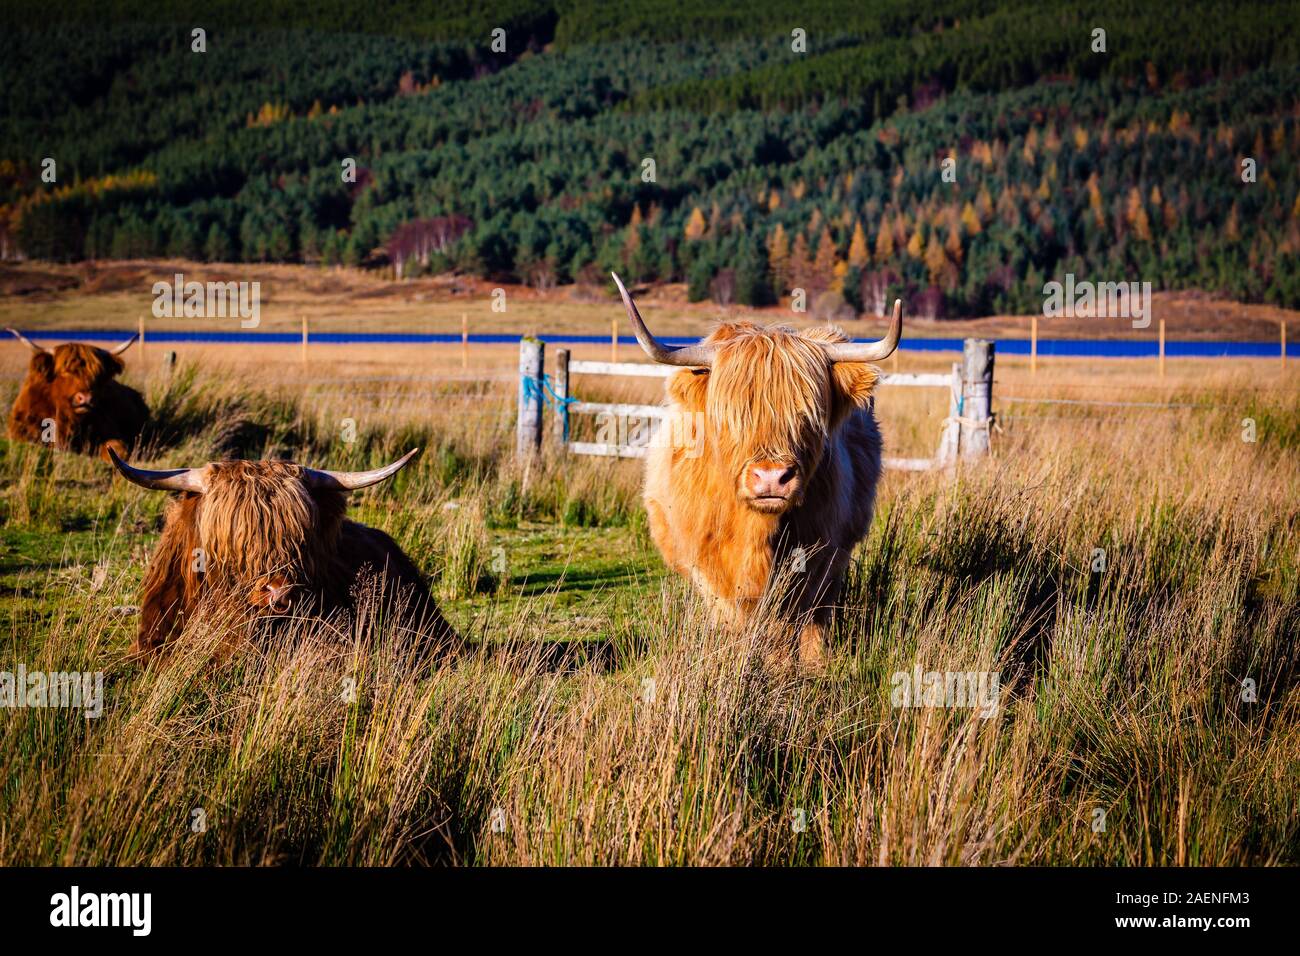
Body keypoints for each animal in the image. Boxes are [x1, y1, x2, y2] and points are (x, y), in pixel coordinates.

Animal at [611, 273, 902, 668]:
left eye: (808, 415)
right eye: (731, 415)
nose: (771, 478)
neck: (756, 531)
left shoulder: (820, 554)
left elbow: (796, 617)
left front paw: (802, 664)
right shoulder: (706, 563)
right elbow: (735, 617)